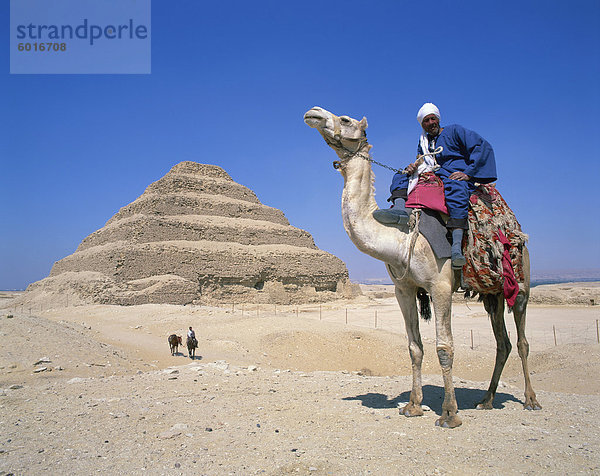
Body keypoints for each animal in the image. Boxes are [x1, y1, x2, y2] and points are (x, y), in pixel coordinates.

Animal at [302, 105, 540, 428]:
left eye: (346, 119)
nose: (313, 112)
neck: (399, 236)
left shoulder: (439, 285)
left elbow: (444, 347)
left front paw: (449, 414)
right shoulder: (403, 289)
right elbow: (414, 347)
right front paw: (413, 405)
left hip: (521, 281)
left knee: (523, 340)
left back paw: (530, 400)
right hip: (493, 293)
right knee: (502, 342)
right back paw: (487, 400)